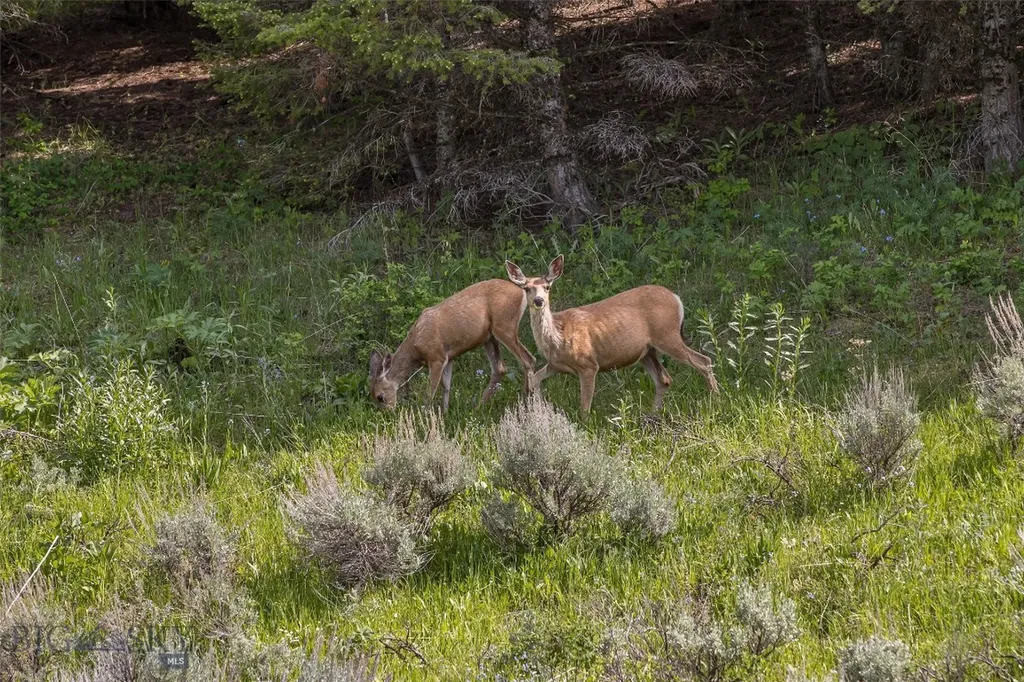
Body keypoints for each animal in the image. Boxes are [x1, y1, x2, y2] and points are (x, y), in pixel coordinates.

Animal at [368, 279, 535, 412]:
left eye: (380, 396)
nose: (388, 412)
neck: (415, 350)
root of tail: (521, 292)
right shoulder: (449, 358)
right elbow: (446, 386)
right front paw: (445, 413)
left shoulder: (437, 357)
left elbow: (430, 392)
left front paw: (425, 416)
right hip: (489, 337)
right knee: (500, 368)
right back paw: (478, 408)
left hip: (504, 327)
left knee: (528, 359)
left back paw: (528, 401)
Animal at [504, 255, 719, 415]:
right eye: (526, 288)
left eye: (547, 287)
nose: (539, 300)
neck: (558, 337)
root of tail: (677, 299)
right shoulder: (556, 364)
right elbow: (535, 379)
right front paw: (538, 411)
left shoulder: (588, 364)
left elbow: (584, 407)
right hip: (647, 351)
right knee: (664, 380)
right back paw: (653, 414)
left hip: (667, 334)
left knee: (703, 361)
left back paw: (715, 401)